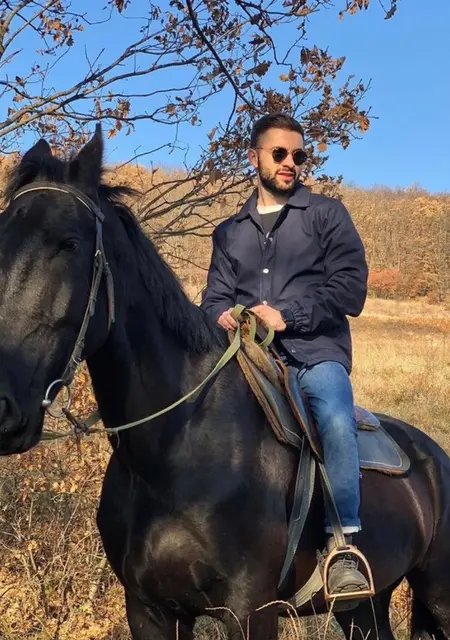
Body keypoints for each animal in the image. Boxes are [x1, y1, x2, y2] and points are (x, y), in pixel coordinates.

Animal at [0, 126, 450, 640]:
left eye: (69, 244)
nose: (3, 408)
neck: (174, 451)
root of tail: (433, 455)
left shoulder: (251, 611)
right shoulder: (150, 610)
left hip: (438, 593)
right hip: (365, 605)